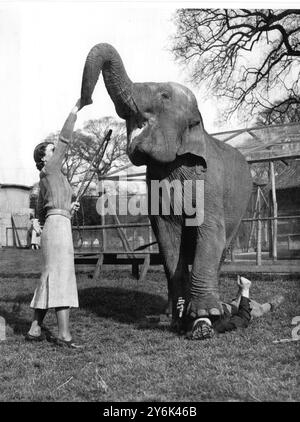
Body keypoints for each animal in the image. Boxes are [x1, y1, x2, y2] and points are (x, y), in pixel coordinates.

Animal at [79, 43, 253, 336]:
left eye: (164, 95)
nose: (84, 101)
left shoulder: (210, 182)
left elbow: (210, 232)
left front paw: (205, 314)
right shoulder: (155, 185)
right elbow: (167, 235)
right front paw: (181, 317)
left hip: (239, 214)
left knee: (222, 249)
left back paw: (216, 307)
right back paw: (170, 313)